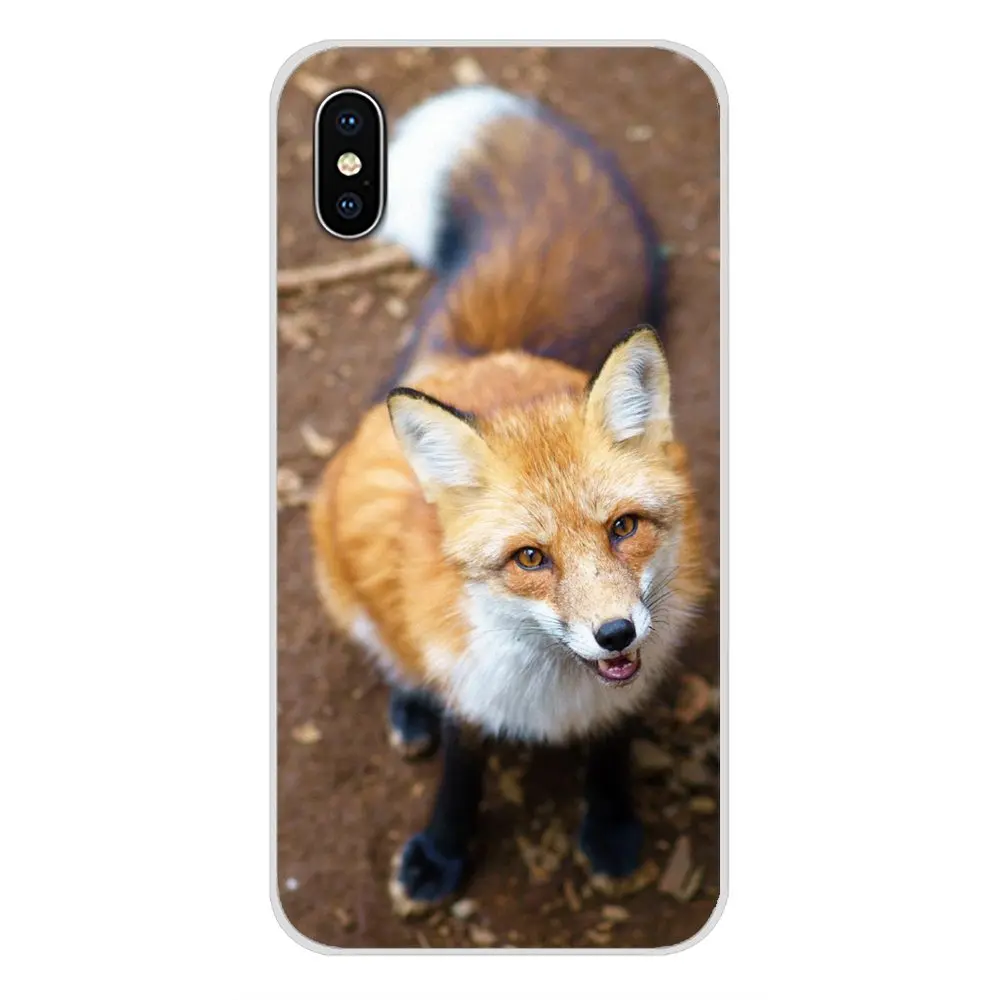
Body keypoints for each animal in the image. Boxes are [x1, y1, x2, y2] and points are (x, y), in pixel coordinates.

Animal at [309, 85, 710, 915]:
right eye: (530, 558)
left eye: (624, 527)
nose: (616, 634)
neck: (556, 692)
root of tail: (479, 355)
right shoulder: (468, 692)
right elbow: (460, 780)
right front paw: (441, 854)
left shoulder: (624, 692)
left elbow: (611, 756)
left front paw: (611, 830)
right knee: (389, 654)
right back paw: (409, 705)